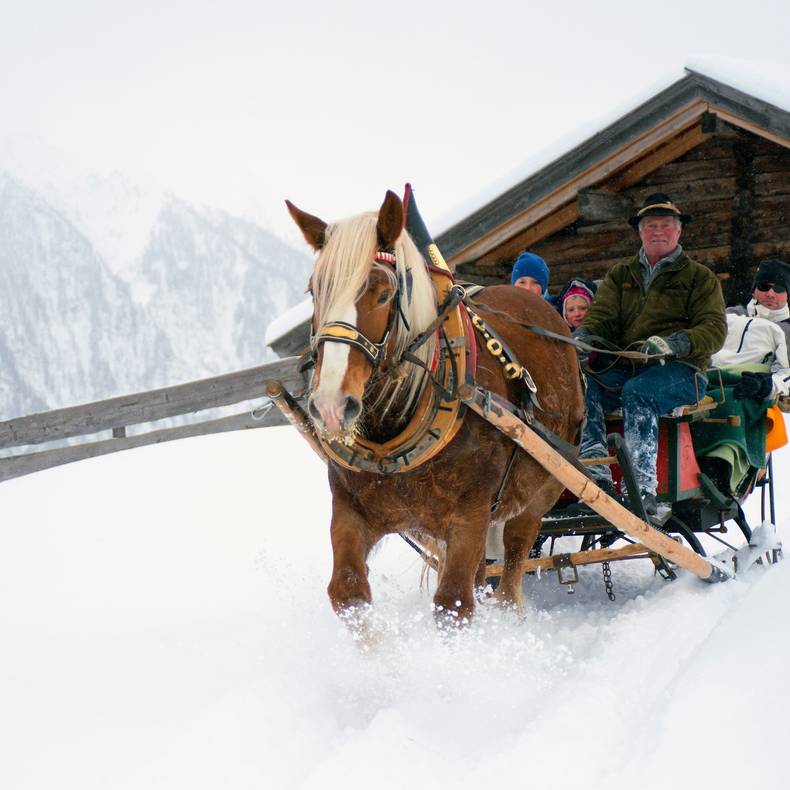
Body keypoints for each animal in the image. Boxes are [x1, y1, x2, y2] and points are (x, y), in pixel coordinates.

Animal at [288, 190, 584, 624]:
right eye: (315, 290)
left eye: (383, 293)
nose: (330, 405)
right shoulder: (350, 508)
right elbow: (347, 593)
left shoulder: (470, 514)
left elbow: (453, 605)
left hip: (544, 486)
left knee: (512, 563)